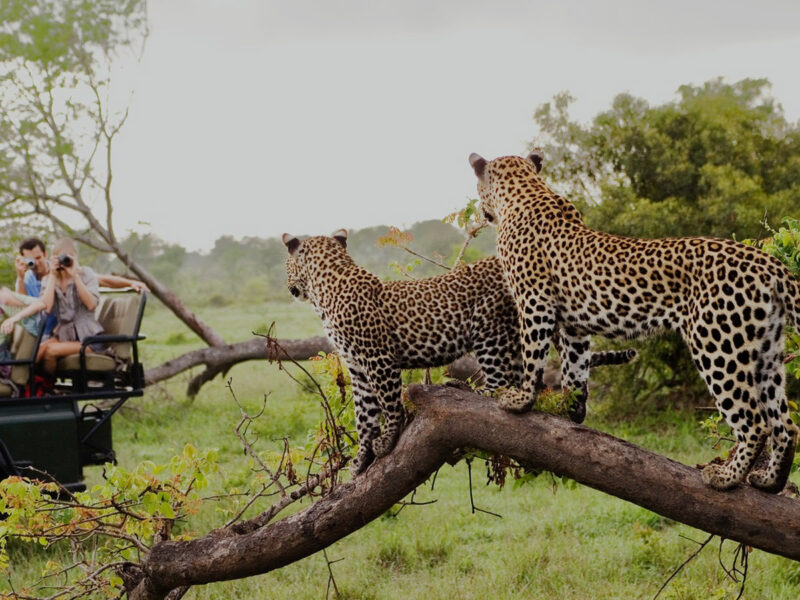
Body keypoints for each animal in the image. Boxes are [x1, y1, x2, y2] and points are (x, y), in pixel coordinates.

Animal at [284, 227, 636, 476]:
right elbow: (364, 416)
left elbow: (390, 404)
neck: (325, 289)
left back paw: (468, 388)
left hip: (490, 329)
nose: (289, 287)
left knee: (502, 382)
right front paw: (360, 458)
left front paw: (387, 440)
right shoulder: (357, 369)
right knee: (525, 379)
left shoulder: (379, 360)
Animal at [468, 150, 800, 492]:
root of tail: (770, 264)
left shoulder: (534, 301)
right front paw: (571, 410)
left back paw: (727, 477)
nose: (482, 212)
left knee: (755, 423)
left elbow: (533, 355)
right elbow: (576, 368)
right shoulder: (575, 325)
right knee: (786, 425)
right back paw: (770, 481)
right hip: (766, 351)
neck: (526, 190)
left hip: (718, 344)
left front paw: (521, 399)